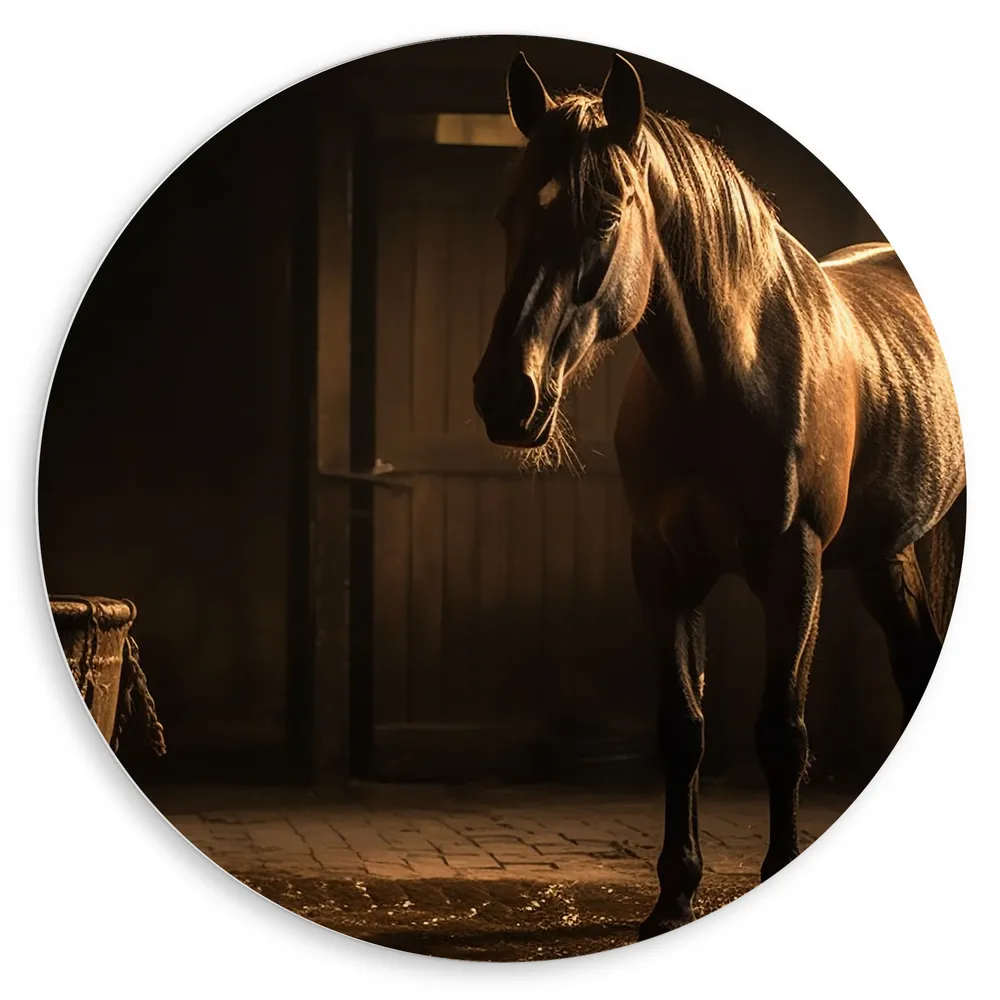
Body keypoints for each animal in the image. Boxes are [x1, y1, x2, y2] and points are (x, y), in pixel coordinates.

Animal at [472, 51, 966, 940]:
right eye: (508, 212)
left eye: (606, 217)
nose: (505, 397)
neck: (726, 377)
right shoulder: (665, 571)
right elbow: (682, 730)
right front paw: (673, 892)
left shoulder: (793, 571)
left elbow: (781, 734)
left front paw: (774, 868)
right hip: (887, 556)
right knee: (915, 664)